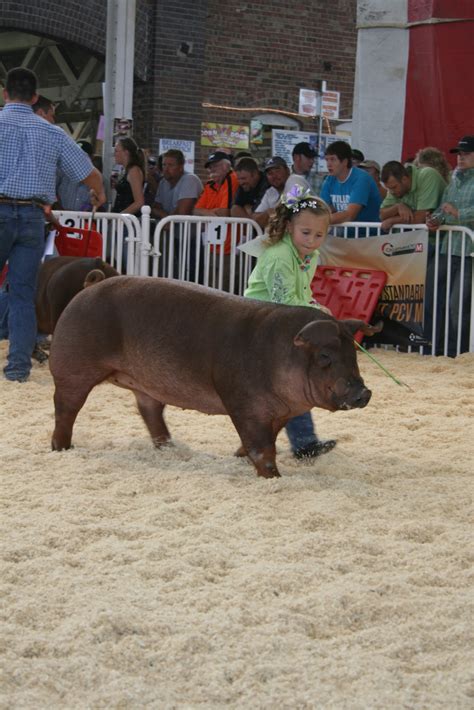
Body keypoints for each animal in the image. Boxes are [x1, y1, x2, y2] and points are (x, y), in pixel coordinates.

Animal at [49, 278, 382, 478]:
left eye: (354, 354)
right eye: (325, 356)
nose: (363, 392)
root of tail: (85, 289)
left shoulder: (280, 412)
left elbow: (267, 439)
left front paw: (237, 455)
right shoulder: (243, 402)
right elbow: (262, 447)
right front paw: (273, 476)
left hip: (146, 383)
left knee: (149, 410)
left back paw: (170, 448)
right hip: (71, 367)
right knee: (66, 409)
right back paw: (61, 449)